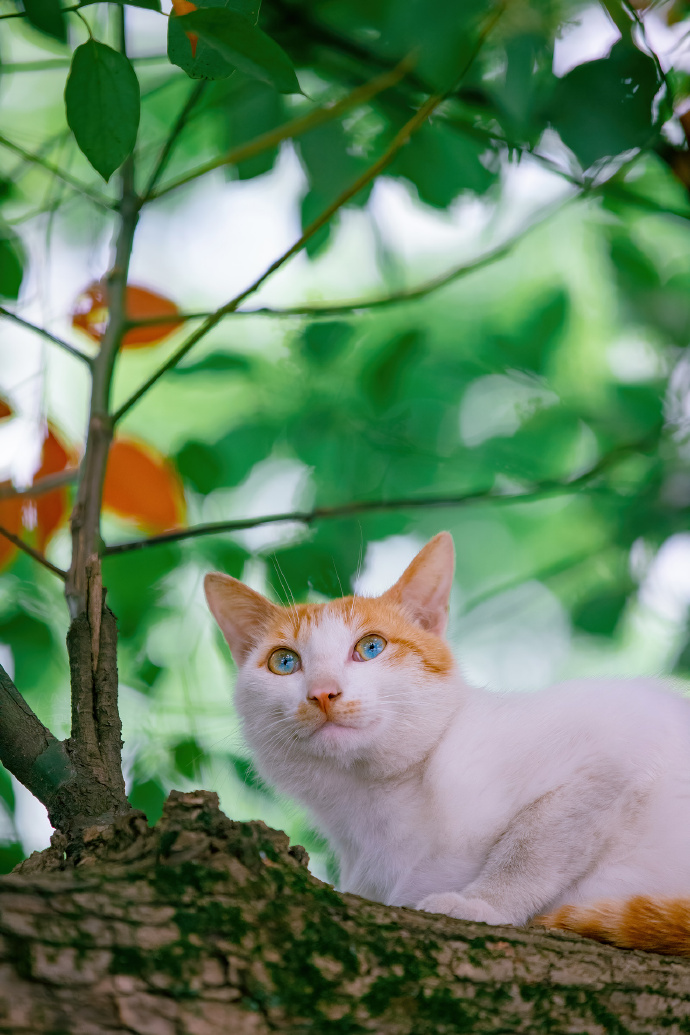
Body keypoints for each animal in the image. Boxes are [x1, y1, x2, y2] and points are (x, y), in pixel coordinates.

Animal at [204, 534, 690, 952]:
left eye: (371, 647)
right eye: (284, 662)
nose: (323, 692)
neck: (376, 804)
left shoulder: (619, 740)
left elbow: (533, 846)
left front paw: (483, 903)